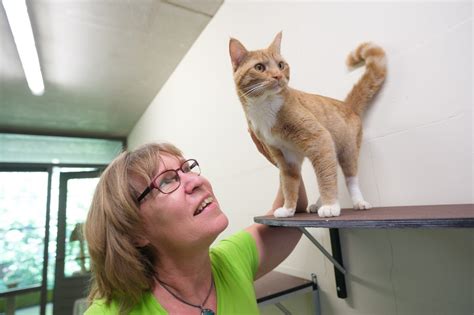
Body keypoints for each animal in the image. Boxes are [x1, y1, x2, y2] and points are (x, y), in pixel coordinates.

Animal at [231, 33, 388, 218]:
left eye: (281, 65)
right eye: (259, 67)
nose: (278, 75)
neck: (265, 107)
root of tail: (347, 105)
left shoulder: (319, 138)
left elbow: (325, 178)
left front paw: (330, 206)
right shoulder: (285, 158)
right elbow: (290, 184)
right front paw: (288, 209)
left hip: (347, 150)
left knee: (348, 178)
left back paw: (357, 202)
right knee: (330, 170)